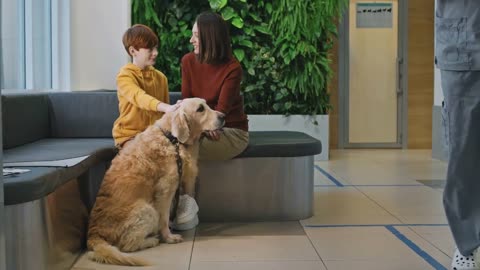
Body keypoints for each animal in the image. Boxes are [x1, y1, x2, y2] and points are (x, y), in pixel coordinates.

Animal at [86, 97, 223, 266]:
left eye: (207, 105)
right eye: (200, 109)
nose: (223, 116)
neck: (171, 138)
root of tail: (93, 234)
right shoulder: (166, 190)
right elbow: (164, 218)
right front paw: (169, 237)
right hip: (147, 210)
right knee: (128, 244)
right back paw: (151, 240)